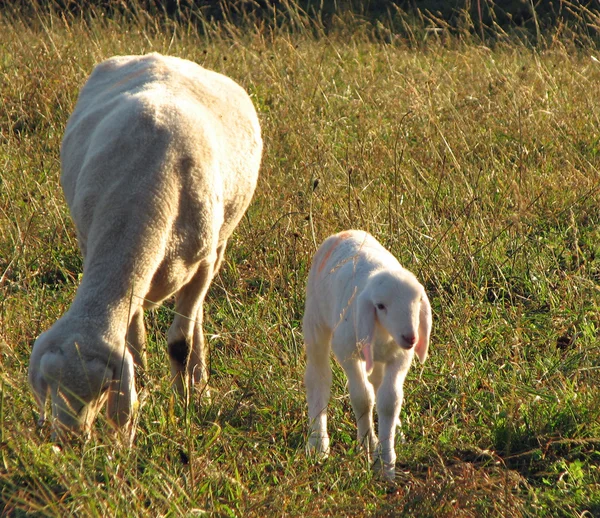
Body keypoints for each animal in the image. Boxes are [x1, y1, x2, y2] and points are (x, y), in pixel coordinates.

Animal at [28, 51, 262, 442]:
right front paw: (145, 390)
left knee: (195, 317)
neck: (139, 197)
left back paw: (199, 383)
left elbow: (180, 341)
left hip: (220, 242)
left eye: (102, 389)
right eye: (50, 385)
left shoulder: (202, 263)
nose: (70, 441)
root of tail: (171, 57)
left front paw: (184, 403)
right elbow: (134, 342)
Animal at [304, 232, 432, 484]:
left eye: (418, 302)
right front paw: (366, 446)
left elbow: (389, 401)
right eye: (380, 306)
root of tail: (345, 232)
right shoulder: (347, 353)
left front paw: (385, 461)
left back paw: (396, 431)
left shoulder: (399, 359)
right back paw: (318, 444)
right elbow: (362, 398)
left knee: (377, 384)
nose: (410, 337)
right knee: (318, 378)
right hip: (315, 321)